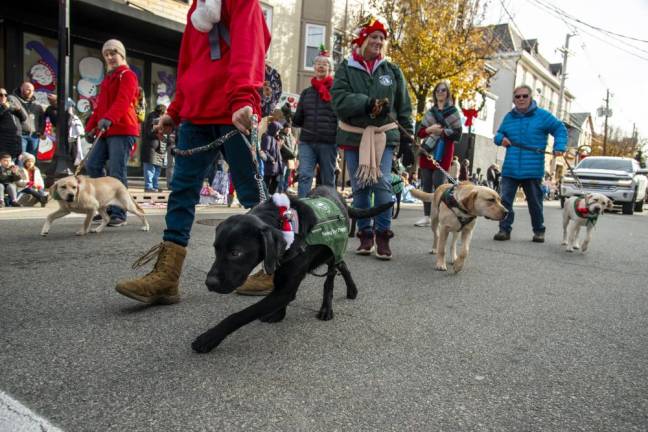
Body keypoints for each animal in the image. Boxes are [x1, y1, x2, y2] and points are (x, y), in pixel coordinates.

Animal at [192, 186, 392, 354]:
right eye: (216, 249)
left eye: (236, 252)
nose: (209, 282)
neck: (284, 225)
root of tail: (339, 196)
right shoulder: (281, 272)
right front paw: (278, 313)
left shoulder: (286, 287)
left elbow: (240, 315)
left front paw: (209, 338)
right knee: (343, 266)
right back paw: (352, 290)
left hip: (334, 250)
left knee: (330, 281)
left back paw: (327, 308)